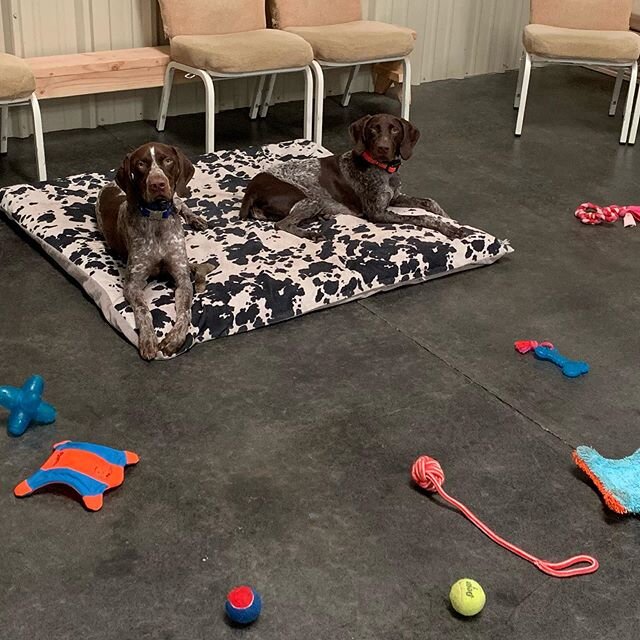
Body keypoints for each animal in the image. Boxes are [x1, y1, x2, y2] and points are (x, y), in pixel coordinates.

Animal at [96, 142, 209, 360]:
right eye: (141, 163)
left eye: (168, 160)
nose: (157, 184)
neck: (157, 219)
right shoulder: (133, 284)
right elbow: (143, 310)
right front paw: (148, 339)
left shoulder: (182, 279)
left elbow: (185, 312)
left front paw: (174, 340)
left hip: (177, 196)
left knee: (181, 203)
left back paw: (196, 219)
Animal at [238, 114, 462, 241]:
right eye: (373, 129)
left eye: (395, 130)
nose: (383, 148)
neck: (383, 169)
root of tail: (251, 189)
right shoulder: (377, 213)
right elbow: (421, 217)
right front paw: (449, 228)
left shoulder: (395, 197)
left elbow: (429, 202)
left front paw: (449, 218)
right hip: (311, 200)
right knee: (283, 224)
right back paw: (311, 233)